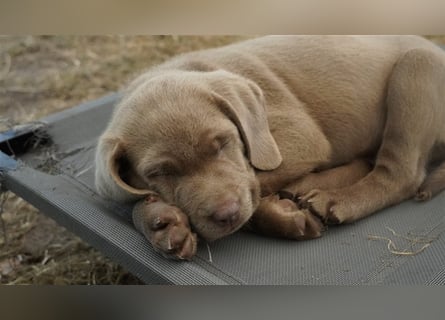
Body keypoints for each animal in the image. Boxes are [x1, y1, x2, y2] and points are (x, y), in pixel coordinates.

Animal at [95, 35, 444, 260]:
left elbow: (255, 184)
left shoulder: (299, 136)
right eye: (159, 173)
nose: (226, 215)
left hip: (416, 68)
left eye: (223, 143)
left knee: (399, 174)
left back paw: (336, 199)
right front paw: (160, 221)